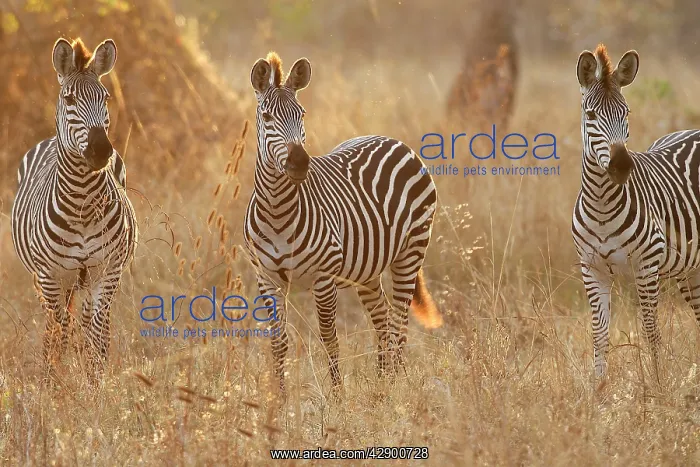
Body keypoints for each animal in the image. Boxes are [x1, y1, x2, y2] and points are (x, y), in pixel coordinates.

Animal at [11, 38, 137, 384]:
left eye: (105, 98)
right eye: (69, 99)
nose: (101, 151)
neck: (82, 204)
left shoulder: (106, 269)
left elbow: (96, 330)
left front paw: (95, 383)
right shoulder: (52, 274)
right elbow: (61, 330)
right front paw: (57, 383)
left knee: (89, 322)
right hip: (46, 280)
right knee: (54, 325)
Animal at [243, 52, 442, 395]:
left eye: (302, 114)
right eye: (267, 117)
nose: (300, 163)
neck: (277, 212)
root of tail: (393, 140)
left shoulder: (324, 277)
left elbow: (329, 338)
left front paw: (337, 397)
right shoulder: (266, 279)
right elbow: (278, 343)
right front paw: (278, 401)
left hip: (410, 252)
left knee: (399, 325)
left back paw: (394, 386)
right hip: (368, 270)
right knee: (382, 317)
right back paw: (381, 385)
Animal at [572, 43, 700, 379]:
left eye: (626, 113)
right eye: (590, 115)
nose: (621, 166)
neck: (602, 205)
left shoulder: (647, 266)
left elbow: (651, 330)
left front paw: (657, 384)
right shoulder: (592, 270)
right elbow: (599, 334)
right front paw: (598, 388)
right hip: (691, 270)